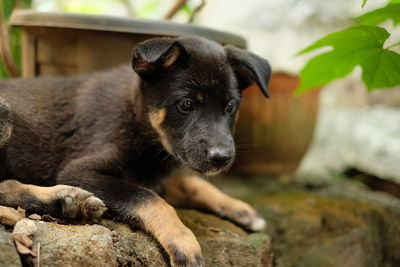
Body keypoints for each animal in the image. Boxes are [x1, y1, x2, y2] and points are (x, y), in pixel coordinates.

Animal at [0, 36, 270, 267]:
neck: (138, 119)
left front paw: (240, 208)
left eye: (230, 106)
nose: (222, 158)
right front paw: (183, 240)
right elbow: (149, 198)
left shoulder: (156, 171)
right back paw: (64, 198)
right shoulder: (79, 170)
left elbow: (193, 184)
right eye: (186, 104)